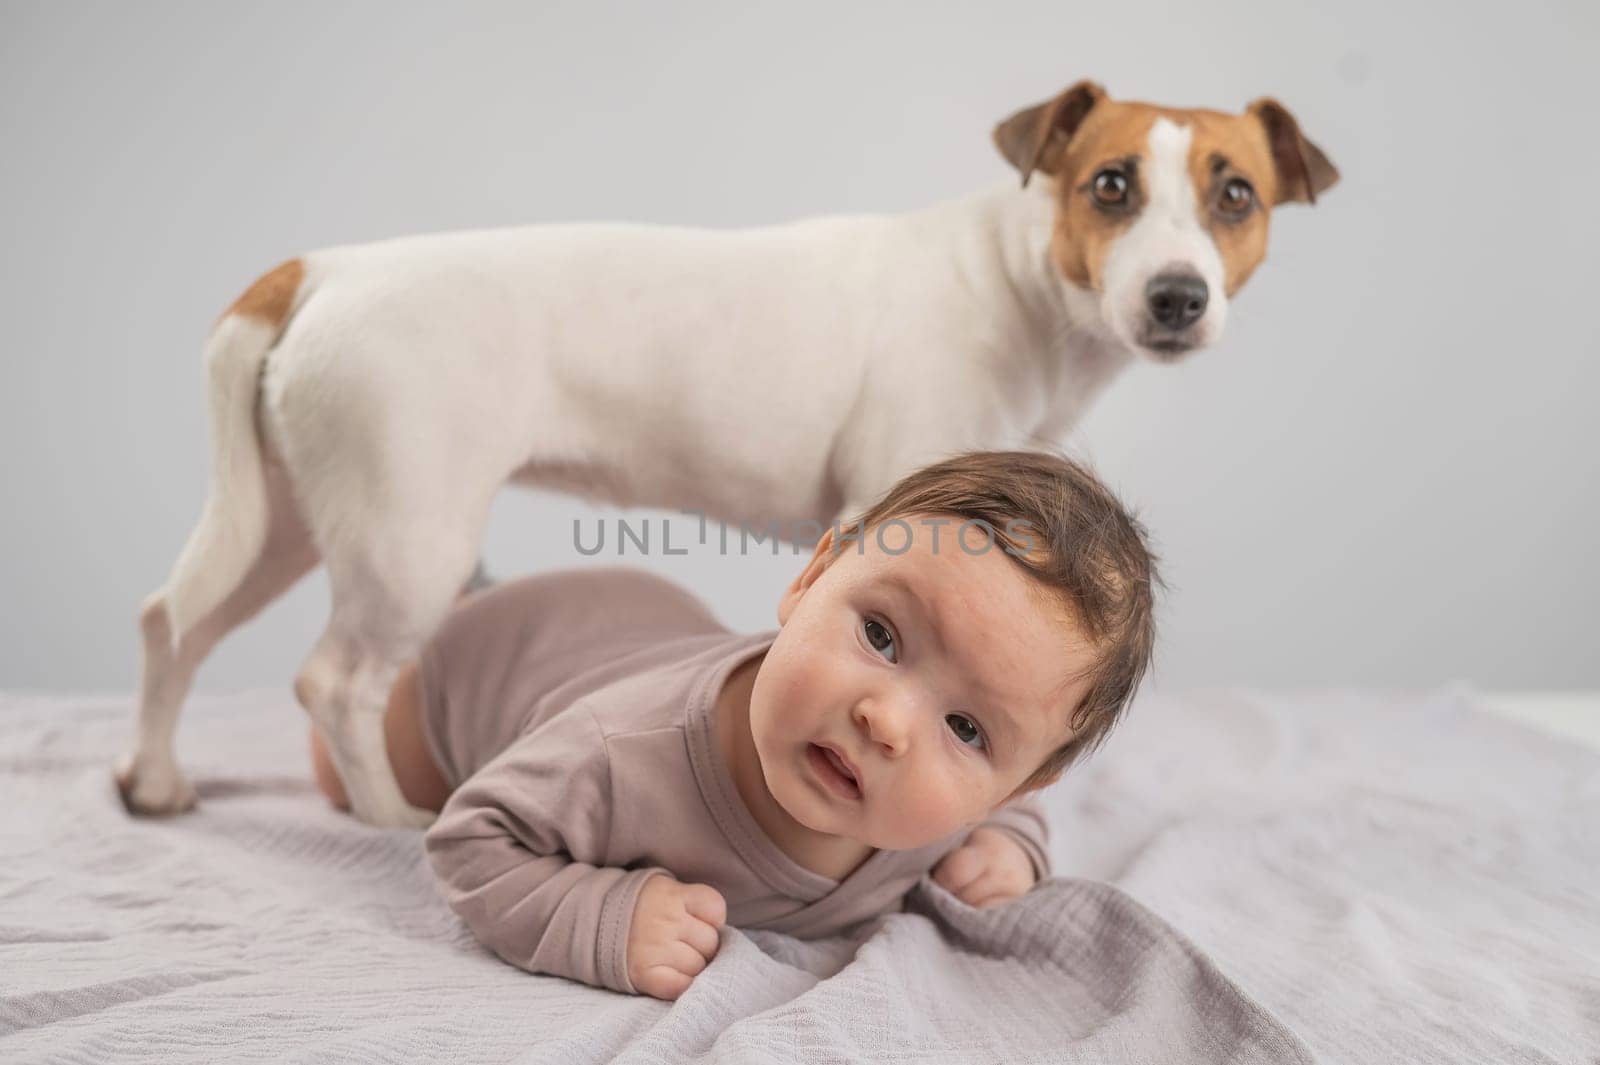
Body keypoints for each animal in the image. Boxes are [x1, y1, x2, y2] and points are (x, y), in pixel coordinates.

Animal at [116, 78, 1337, 825]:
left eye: (1236, 194)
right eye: (1109, 186)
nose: (1176, 297)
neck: (1016, 284)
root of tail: (324, 269)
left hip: (283, 522)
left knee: (175, 625)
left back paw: (155, 778)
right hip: (407, 537)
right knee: (334, 681)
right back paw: (384, 815)